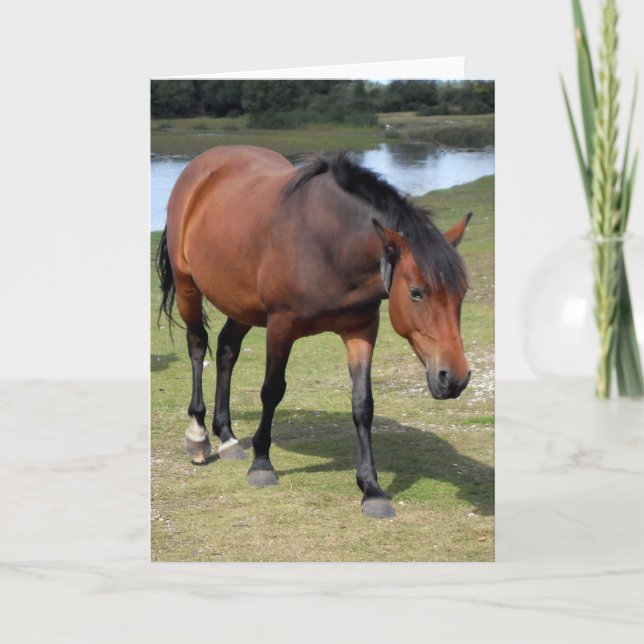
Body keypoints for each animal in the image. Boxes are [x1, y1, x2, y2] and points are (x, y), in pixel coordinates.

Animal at [156, 145, 472, 518]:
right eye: (416, 292)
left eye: (462, 292)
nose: (454, 378)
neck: (329, 243)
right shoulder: (280, 325)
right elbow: (271, 391)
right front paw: (262, 464)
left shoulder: (362, 329)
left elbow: (363, 405)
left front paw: (371, 488)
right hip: (188, 285)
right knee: (197, 345)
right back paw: (199, 436)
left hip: (242, 304)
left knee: (226, 350)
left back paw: (228, 437)